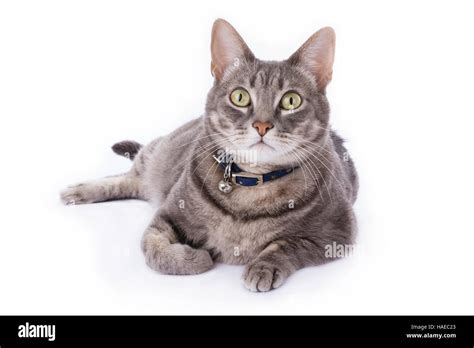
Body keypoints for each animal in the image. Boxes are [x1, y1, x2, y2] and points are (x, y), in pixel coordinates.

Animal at [62, 18, 360, 290]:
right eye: (240, 97)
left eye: (291, 100)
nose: (262, 125)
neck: (252, 188)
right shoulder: (167, 215)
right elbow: (155, 250)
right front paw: (198, 258)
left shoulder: (337, 234)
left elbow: (286, 245)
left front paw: (263, 267)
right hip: (158, 154)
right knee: (131, 174)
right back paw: (79, 191)